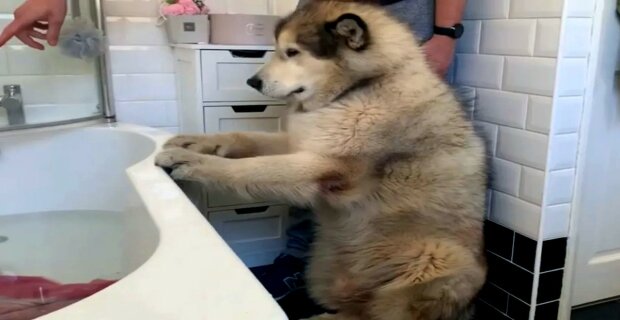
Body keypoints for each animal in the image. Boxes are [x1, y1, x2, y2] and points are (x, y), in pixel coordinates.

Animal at [156, 1, 490, 318]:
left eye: (292, 52)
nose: (252, 82)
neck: (358, 89)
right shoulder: (298, 144)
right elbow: (242, 138)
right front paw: (196, 143)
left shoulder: (325, 166)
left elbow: (251, 168)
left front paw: (193, 162)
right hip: (321, 270)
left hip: (432, 261)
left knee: (371, 316)